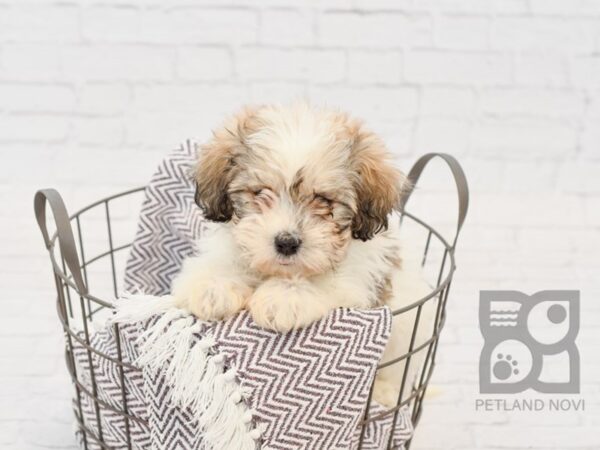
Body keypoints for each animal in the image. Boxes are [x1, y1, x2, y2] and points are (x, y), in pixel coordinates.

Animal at [171, 104, 434, 408]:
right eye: (260, 192)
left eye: (324, 200)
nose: (286, 243)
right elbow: (224, 261)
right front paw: (212, 287)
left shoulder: (357, 280)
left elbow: (324, 281)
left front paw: (283, 297)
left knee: (398, 369)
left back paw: (384, 392)